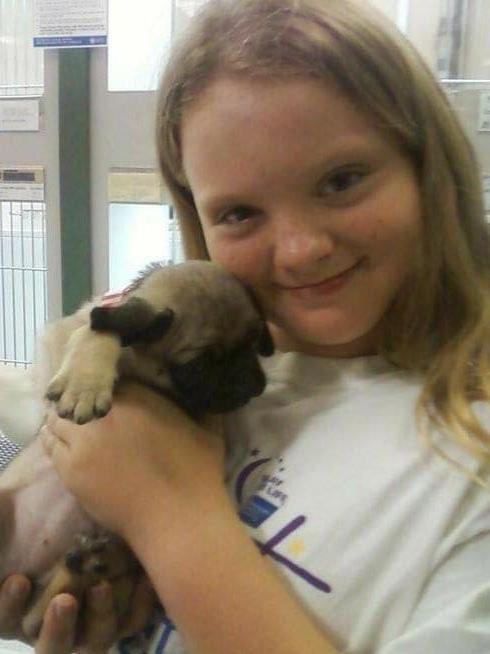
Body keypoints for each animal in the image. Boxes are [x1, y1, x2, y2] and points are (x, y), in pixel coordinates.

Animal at [0, 260, 273, 641]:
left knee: (43, 611)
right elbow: (99, 331)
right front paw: (85, 383)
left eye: (253, 343)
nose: (246, 381)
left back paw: (92, 563)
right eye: (198, 365)